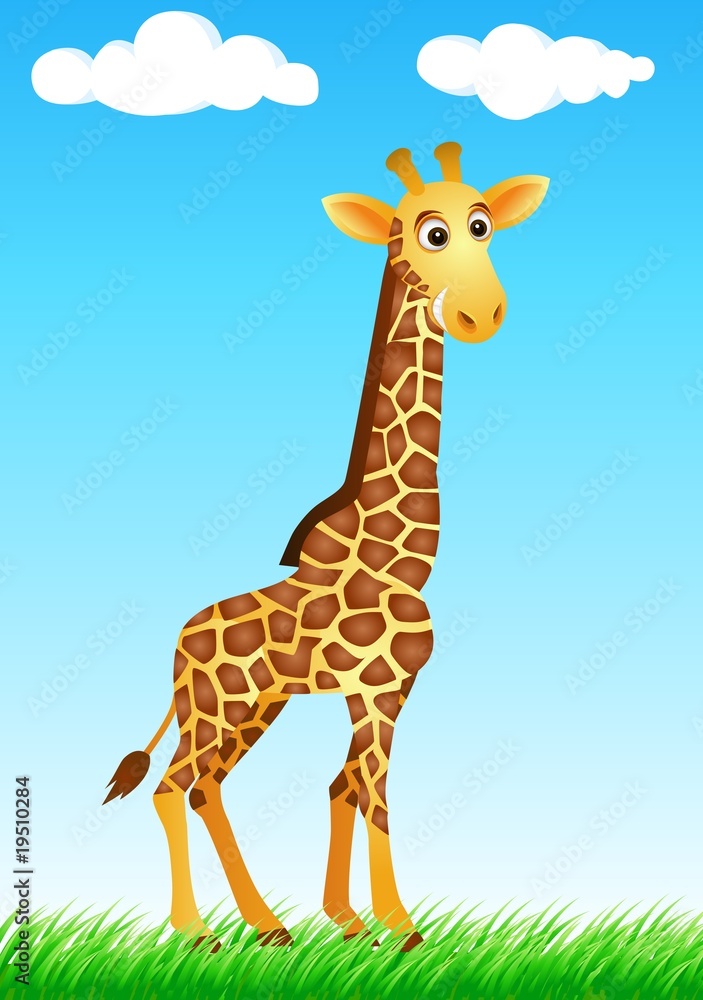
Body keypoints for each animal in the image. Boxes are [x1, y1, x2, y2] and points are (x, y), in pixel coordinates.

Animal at [105, 142, 548, 953]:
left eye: (483, 225)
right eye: (432, 233)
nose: (482, 314)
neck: (398, 555)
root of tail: (176, 647)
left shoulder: (385, 691)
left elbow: (345, 787)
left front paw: (349, 922)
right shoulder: (375, 690)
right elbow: (374, 794)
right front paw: (402, 932)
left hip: (257, 705)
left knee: (206, 785)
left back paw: (268, 926)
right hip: (217, 706)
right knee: (173, 785)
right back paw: (199, 932)